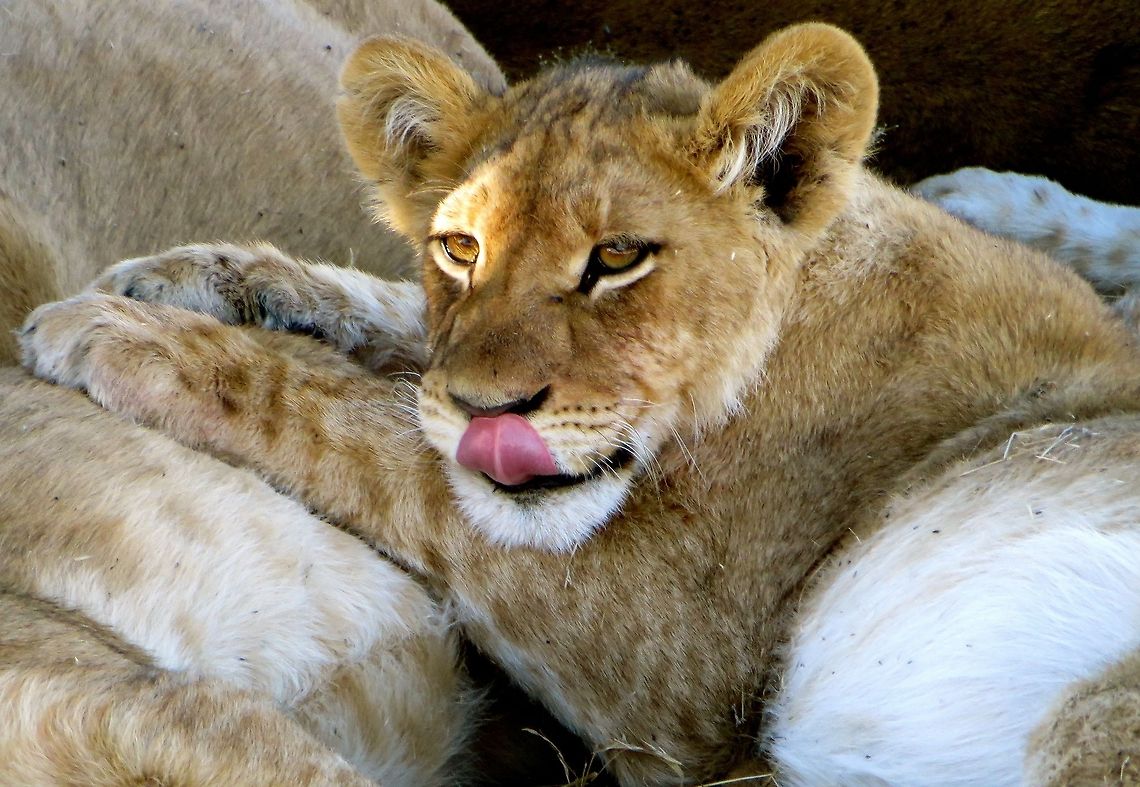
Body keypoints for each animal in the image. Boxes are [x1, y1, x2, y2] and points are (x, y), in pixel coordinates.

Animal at [17, 21, 1140, 786]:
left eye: (618, 258)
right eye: (459, 247)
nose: (488, 414)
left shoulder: (675, 650)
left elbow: (360, 421)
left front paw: (108, 328)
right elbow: (385, 331)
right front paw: (182, 278)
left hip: (1098, 714)